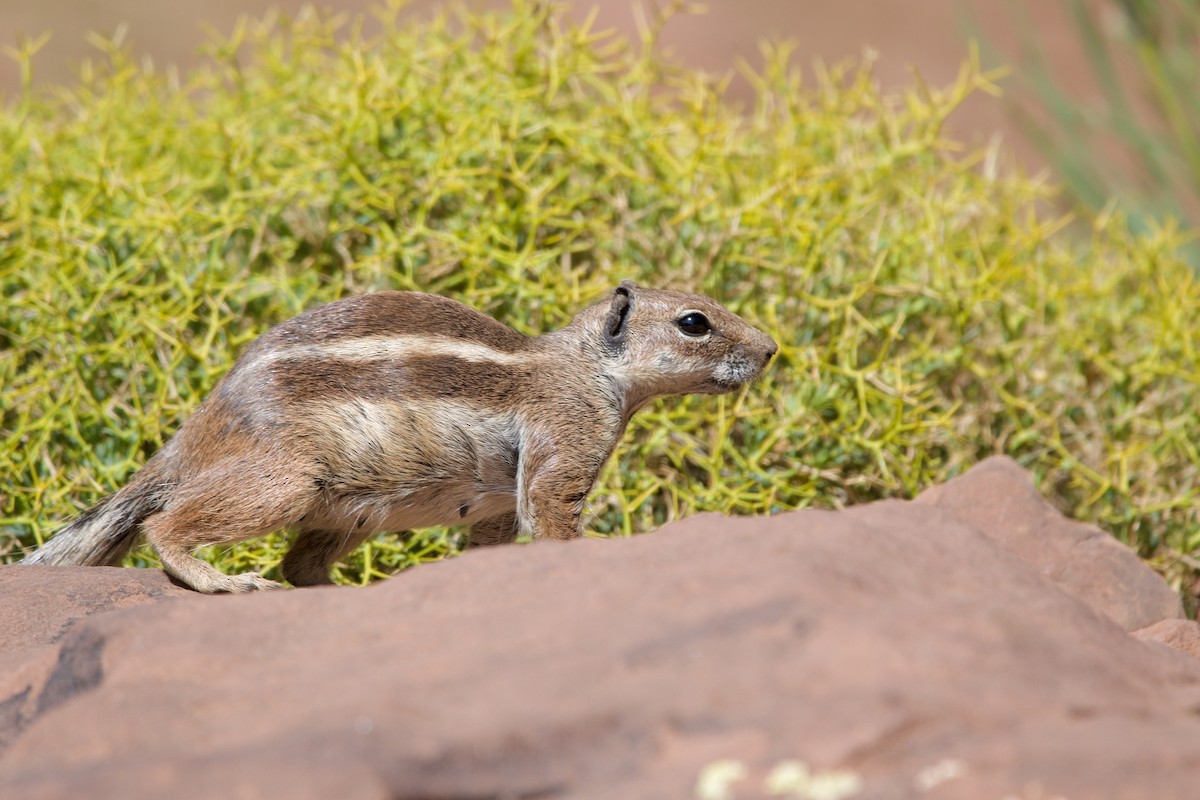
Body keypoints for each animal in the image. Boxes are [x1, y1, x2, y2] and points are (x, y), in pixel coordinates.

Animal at [23, 281, 777, 593]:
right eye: (694, 323)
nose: (772, 349)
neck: (586, 367)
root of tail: (201, 425)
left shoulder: (497, 508)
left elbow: (494, 541)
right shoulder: (563, 448)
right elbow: (554, 519)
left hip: (347, 511)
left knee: (299, 565)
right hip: (286, 480)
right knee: (168, 525)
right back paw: (222, 581)